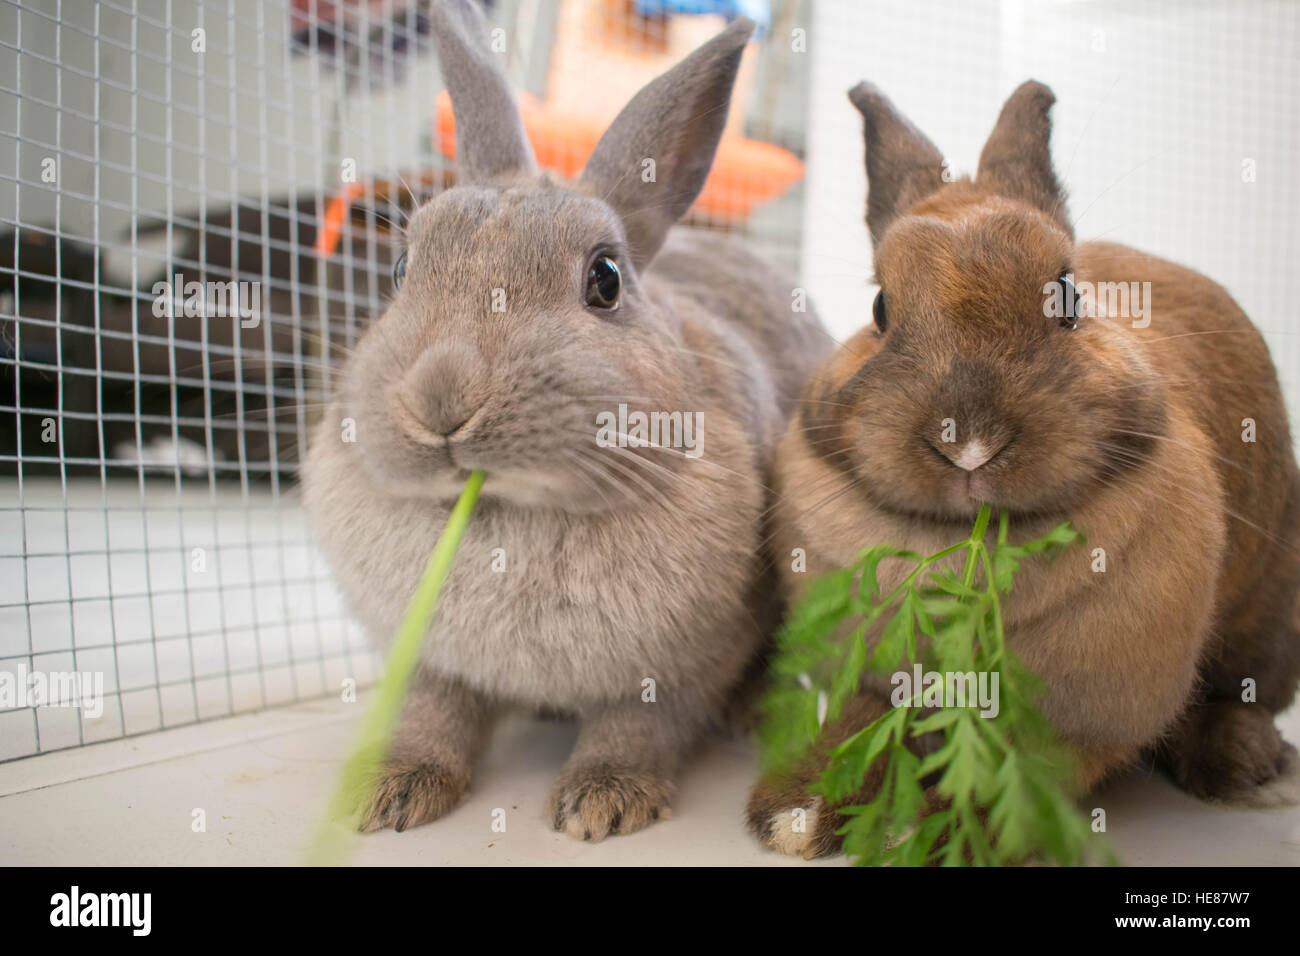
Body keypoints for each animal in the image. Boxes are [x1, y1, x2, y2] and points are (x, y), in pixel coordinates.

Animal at [748, 80, 1300, 858]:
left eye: (1068, 296)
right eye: (880, 307)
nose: (970, 442)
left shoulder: (1081, 720)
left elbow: (1022, 773)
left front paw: (949, 838)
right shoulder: (865, 674)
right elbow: (855, 723)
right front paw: (794, 813)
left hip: (1272, 607)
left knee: (1244, 690)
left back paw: (1245, 764)